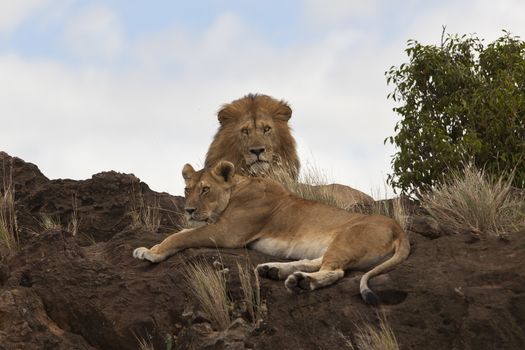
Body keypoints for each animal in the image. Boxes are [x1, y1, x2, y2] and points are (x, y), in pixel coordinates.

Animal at [132, 161, 410, 304]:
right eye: (187, 189)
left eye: (205, 189)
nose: (188, 210)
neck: (236, 189)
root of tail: (399, 228)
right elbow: (182, 230)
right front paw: (148, 247)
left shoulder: (229, 233)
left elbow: (180, 235)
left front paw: (152, 253)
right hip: (335, 244)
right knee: (316, 262)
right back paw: (274, 270)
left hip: (346, 239)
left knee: (335, 271)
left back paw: (300, 282)